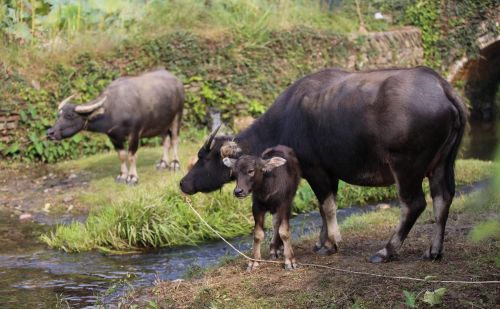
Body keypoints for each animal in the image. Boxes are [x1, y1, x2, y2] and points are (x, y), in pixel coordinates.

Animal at [47, 69, 185, 184]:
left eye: (70, 115)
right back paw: (163, 163)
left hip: (177, 116)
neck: (113, 110)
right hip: (161, 123)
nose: (50, 133)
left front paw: (132, 177)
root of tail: (177, 81)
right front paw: (122, 176)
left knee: (174, 139)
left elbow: (131, 156)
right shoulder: (113, 137)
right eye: (59, 115)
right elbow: (122, 156)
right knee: (166, 141)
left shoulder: (134, 134)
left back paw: (175, 164)